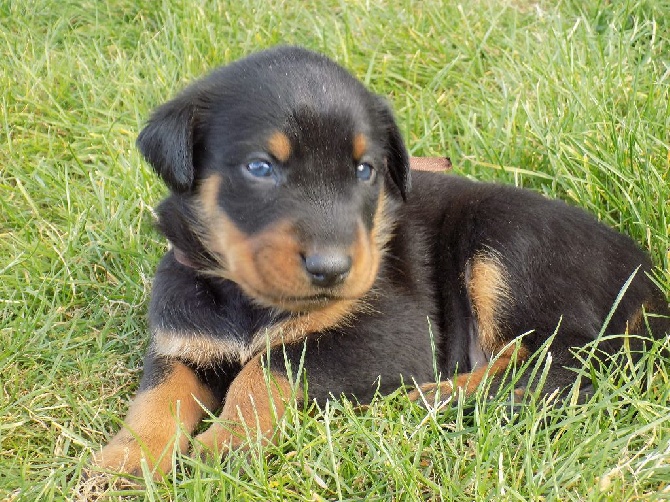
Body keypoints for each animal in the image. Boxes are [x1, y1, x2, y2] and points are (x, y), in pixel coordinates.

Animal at [92, 45, 668, 476]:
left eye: (365, 170)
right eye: (260, 167)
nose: (332, 269)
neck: (247, 301)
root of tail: (648, 279)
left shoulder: (390, 332)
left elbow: (270, 365)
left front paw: (227, 442)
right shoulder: (181, 339)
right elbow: (156, 397)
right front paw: (125, 462)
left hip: (508, 244)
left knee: (562, 363)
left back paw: (426, 398)